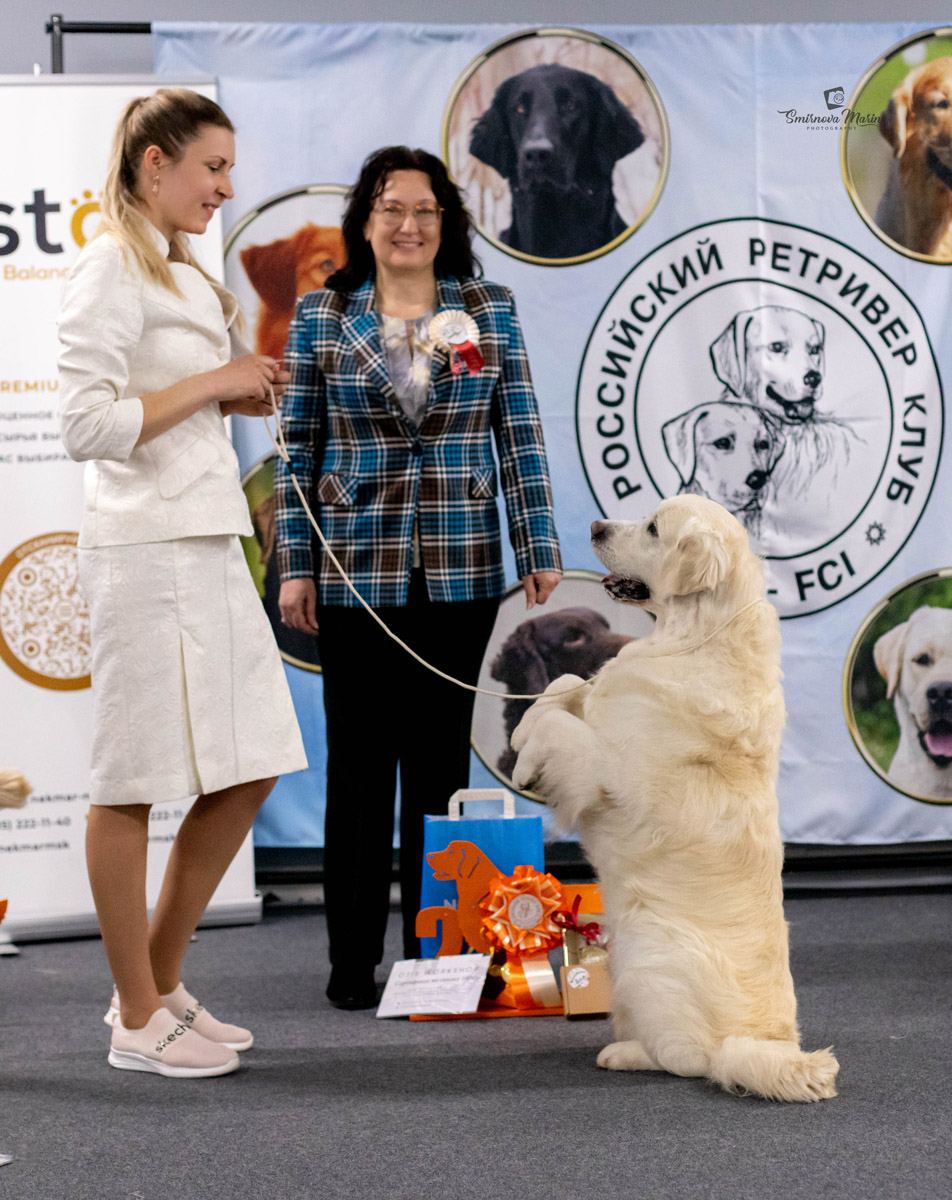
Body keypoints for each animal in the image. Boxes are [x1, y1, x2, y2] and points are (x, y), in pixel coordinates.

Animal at [511, 492, 840, 1099]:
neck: (693, 638)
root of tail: (754, 1045)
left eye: (653, 528)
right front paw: (522, 731)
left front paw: (523, 760)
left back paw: (623, 1054)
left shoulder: (606, 770)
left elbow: (562, 724)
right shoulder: (600, 691)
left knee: (686, 1059)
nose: (596, 526)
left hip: (648, 962)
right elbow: (566, 685)